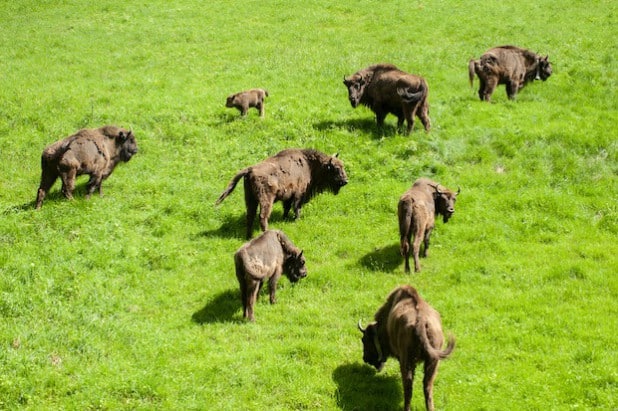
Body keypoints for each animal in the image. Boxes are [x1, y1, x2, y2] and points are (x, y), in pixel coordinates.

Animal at [214, 148, 346, 238]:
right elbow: (296, 208)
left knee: (250, 216)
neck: (308, 164)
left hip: (250, 198)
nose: (345, 181)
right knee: (262, 216)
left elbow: (286, 207)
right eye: (336, 169)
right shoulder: (299, 194)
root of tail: (250, 169)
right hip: (266, 200)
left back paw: (249, 236)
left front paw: (284, 218)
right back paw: (265, 233)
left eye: (342, 166)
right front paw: (296, 219)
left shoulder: (288, 197)